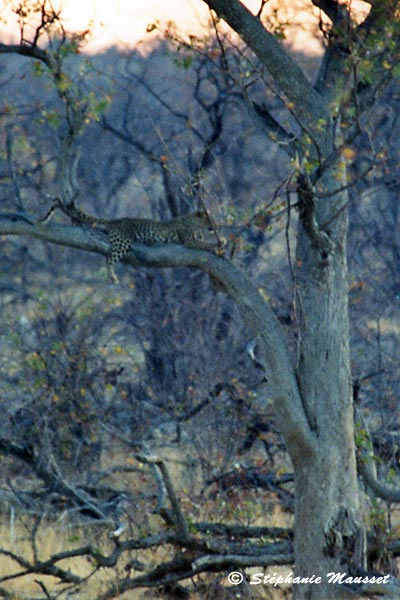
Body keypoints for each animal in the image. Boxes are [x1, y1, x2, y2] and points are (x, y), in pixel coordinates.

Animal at [41, 199, 217, 284]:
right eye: (209, 219)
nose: (214, 226)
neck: (194, 222)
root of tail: (116, 220)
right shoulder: (188, 240)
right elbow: (205, 244)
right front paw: (218, 245)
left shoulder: (195, 237)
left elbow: (203, 240)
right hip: (123, 243)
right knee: (109, 260)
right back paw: (113, 277)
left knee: (107, 257)